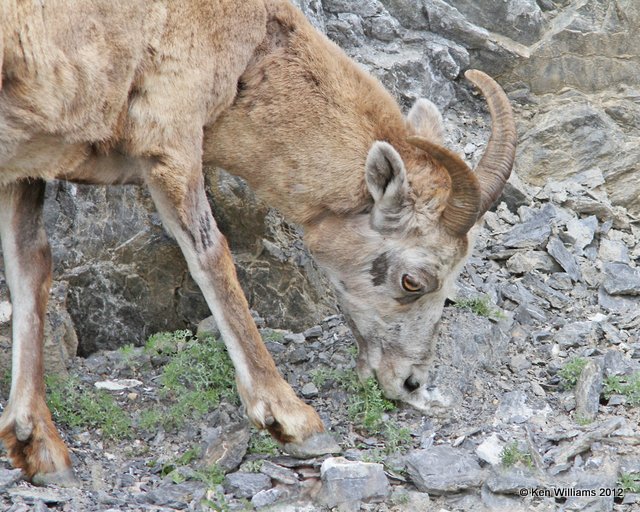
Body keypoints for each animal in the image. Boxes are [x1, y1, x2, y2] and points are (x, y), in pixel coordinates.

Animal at [0, 0, 516, 484]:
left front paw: (38, 448)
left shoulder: (25, 168)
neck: (247, 47)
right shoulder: (171, 146)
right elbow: (212, 256)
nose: (411, 384)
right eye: (413, 280)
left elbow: (31, 267)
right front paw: (293, 421)